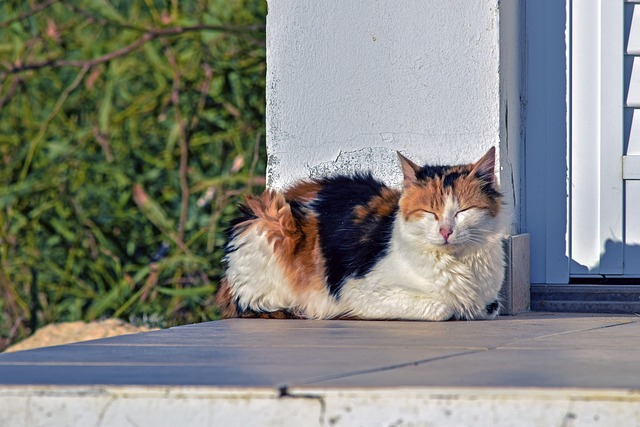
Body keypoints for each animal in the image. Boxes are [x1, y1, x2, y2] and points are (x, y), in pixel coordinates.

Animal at [218, 147, 508, 320]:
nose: (446, 231)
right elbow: (443, 307)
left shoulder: (489, 302)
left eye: (463, 211)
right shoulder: (358, 291)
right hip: (272, 221)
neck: (459, 264)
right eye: (430, 212)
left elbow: (489, 307)